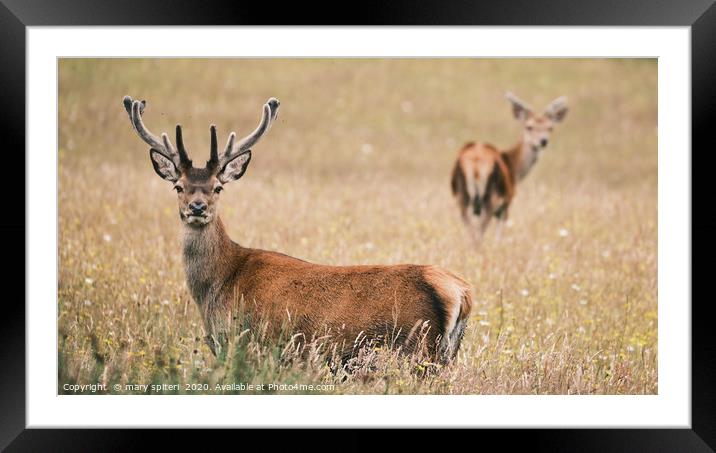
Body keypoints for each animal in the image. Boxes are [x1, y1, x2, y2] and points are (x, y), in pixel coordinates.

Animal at [124, 94, 470, 364]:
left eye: (218, 187)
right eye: (178, 186)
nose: (197, 207)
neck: (218, 284)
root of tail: (460, 291)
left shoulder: (248, 342)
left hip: (418, 347)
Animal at [450, 89, 568, 242]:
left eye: (550, 128)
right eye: (529, 127)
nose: (543, 141)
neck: (515, 169)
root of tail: (475, 160)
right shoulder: (506, 204)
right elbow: (498, 238)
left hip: (463, 198)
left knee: (471, 231)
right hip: (491, 198)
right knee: (479, 233)